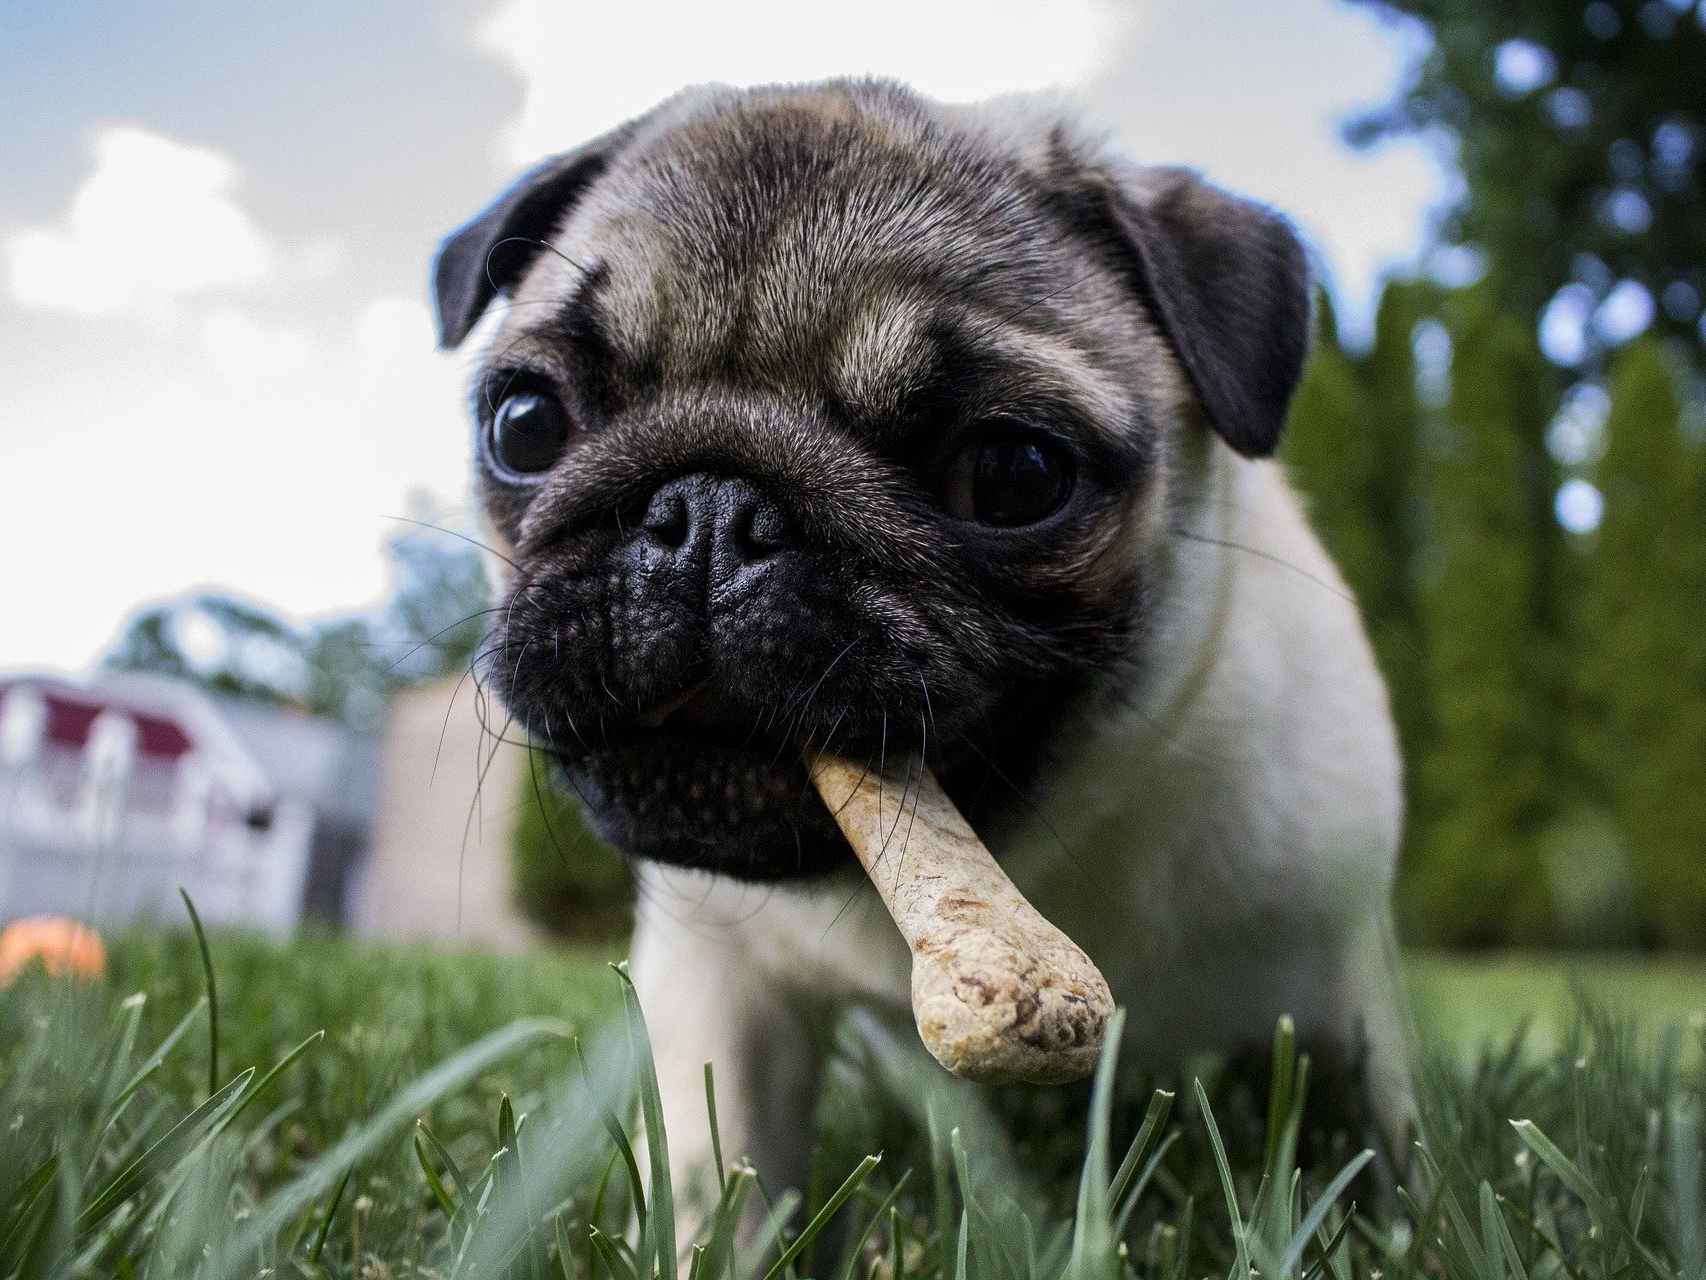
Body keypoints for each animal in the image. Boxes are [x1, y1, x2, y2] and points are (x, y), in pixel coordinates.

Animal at [433, 80, 1405, 1201]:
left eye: (1015, 475)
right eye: (525, 423)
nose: (708, 512)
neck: (1031, 848)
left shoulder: (1344, 977)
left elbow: (1388, 1144)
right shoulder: (719, 987)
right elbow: (711, 1170)